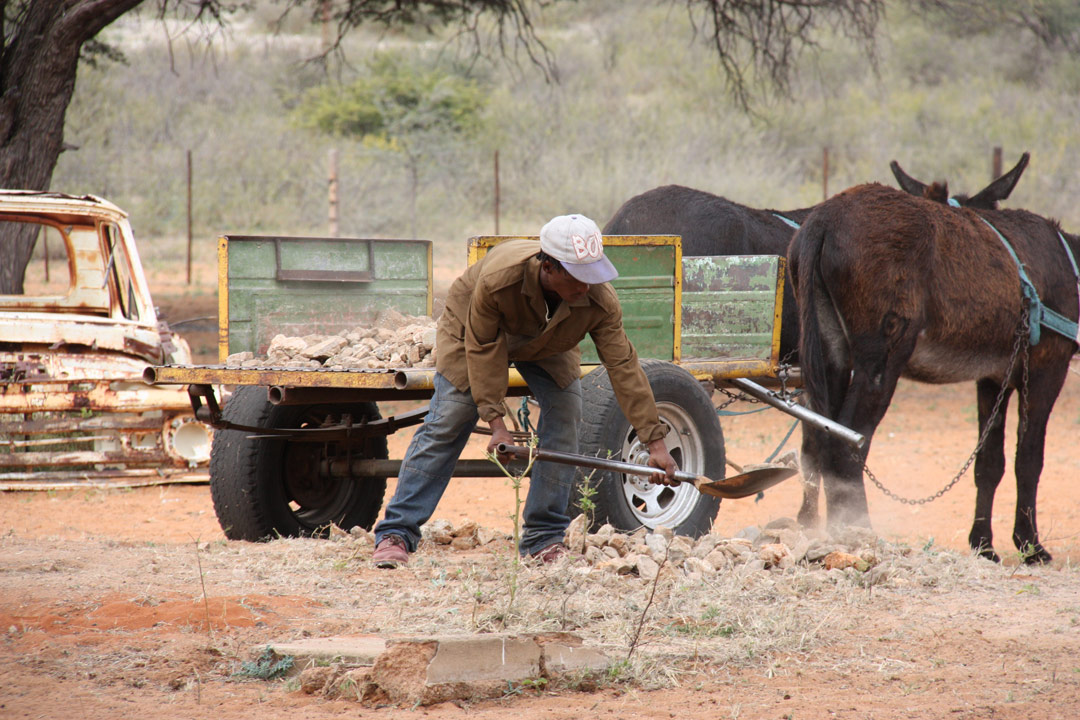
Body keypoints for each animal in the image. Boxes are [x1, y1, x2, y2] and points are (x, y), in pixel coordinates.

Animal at [787, 166, 1079, 564]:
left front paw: (983, 544)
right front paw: (1030, 545)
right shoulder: (1049, 366)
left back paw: (825, 532)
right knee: (847, 443)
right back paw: (858, 533)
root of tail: (824, 218)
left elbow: (990, 462)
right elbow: (1029, 459)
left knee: (818, 437)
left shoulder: (993, 378)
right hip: (882, 358)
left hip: (829, 352)